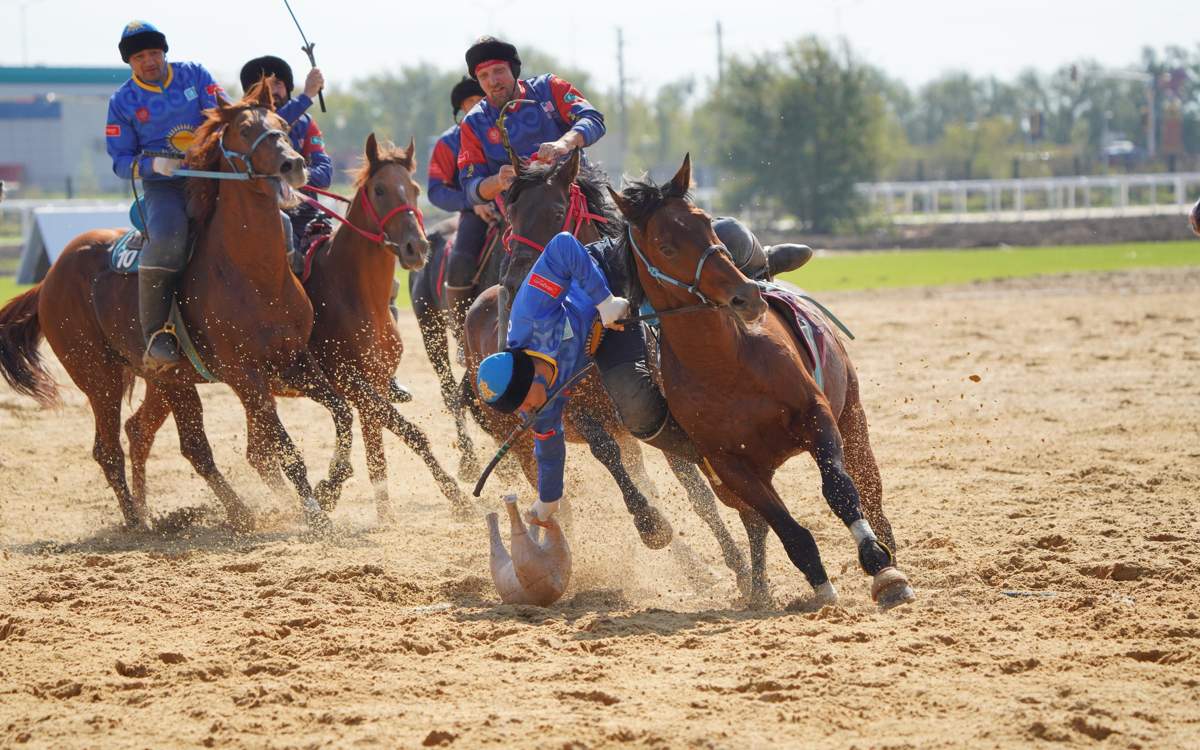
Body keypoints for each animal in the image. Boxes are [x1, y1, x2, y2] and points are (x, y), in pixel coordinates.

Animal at [0, 81, 352, 532]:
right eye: (243, 130)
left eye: (283, 125)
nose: (293, 164)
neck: (252, 272)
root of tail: (50, 278)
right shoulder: (247, 377)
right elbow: (285, 448)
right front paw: (314, 512)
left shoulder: (294, 361)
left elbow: (342, 414)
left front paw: (331, 487)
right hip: (99, 378)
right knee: (112, 450)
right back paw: (142, 520)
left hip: (170, 381)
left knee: (168, 440)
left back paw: (197, 512)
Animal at [124, 131, 475, 523]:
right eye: (381, 189)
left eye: (414, 189)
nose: (417, 247)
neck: (354, 291)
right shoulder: (349, 381)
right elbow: (399, 432)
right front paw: (333, 491)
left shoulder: (376, 381)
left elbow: (384, 444)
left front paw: (392, 508)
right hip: (195, 384)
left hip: (187, 384)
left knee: (159, 434)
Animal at [604, 153, 912, 609]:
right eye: (666, 245)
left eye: (707, 222)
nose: (746, 295)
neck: (727, 366)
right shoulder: (730, 465)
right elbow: (787, 529)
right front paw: (819, 586)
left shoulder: (817, 416)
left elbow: (840, 490)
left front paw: (881, 567)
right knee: (756, 525)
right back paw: (758, 588)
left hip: (853, 417)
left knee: (870, 491)